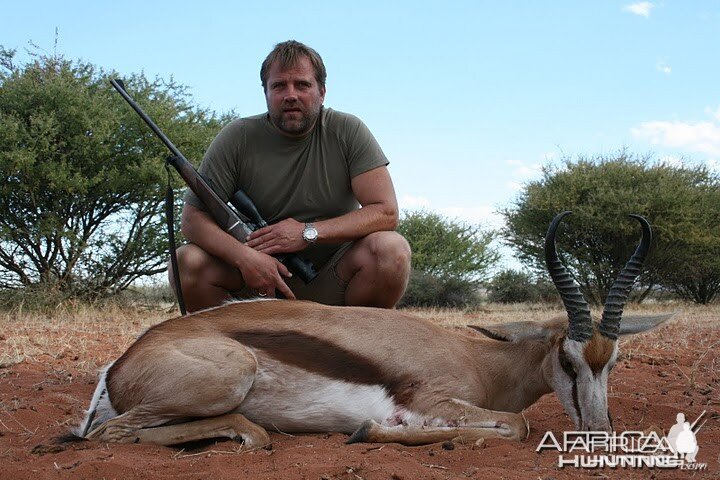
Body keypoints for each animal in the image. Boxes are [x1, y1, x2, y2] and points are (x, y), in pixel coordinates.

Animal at [77, 212, 668, 448]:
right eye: (568, 360)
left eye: (613, 361)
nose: (600, 432)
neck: (483, 362)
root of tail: (120, 364)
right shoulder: (433, 399)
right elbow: (516, 426)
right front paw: (371, 431)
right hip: (228, 377)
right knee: (112, 434)